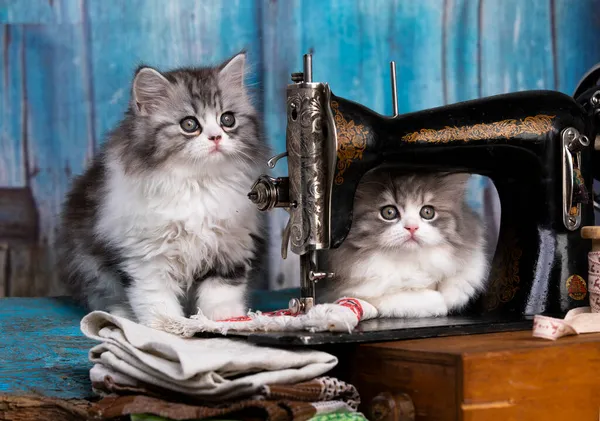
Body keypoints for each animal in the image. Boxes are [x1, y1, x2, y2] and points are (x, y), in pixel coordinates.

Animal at [57, 52, 268, 326]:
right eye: (189, 124)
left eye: (227, 119)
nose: (216, 137)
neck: (197, 184)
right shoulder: (145, 257)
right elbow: (156, 300)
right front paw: (169, 328)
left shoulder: (230, 246)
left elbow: (221, 293)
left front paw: (225, 320)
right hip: (90, 268)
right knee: (107, 298)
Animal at [316, 169, 490, 316]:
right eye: (389, 212)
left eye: (428, 212)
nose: (411, 227)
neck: (411, 261)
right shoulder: (343, 290)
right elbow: (407, 297)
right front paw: (438, 302)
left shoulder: (472, 259)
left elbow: (461, 279)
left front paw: (449, 295)